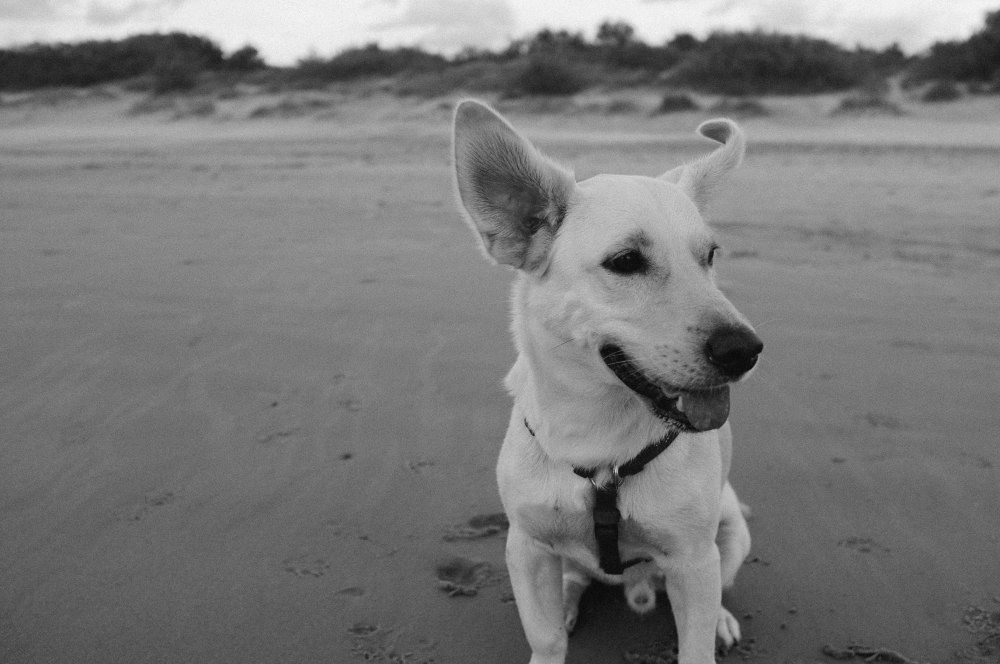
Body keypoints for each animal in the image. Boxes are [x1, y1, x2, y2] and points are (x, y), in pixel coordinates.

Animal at [450, 100, 760, 664]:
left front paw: (709, 631)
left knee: (719, 588)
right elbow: (546, 636)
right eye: (626, 261)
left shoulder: (692, 559)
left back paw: (723, 619)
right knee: (574, 580)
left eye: (710, 256)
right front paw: (552, 639)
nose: (744, 350)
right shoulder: (526, 547)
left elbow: (695, 645)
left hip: (728, 535)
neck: (598, 437)